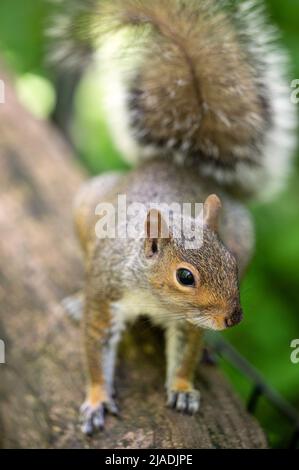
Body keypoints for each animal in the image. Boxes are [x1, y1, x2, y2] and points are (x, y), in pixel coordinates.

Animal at [54, 0, 298, 436]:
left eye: (231, 262)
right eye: (185, 276)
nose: (233, 318)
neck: (153, 297)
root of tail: (177, 162)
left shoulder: (190, 319)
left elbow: (186, 350)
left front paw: (183, 388)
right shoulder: (107, 290)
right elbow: (95, 347)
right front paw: (96, 399)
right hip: (86, 206)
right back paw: (77, 300)